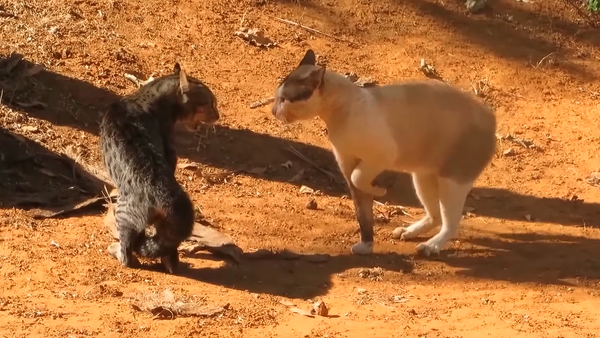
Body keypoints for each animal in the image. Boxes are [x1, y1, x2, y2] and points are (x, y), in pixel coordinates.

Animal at [98, 62, 220, 274]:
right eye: (210, 104)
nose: (218, 116)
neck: (147, 97)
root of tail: (165, 193)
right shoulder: (170, 154)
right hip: (165, 224)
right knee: (167, 249)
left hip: (123, 213)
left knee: (127, 254)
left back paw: (115, 250)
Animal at [272, 49, 496, 256]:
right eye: (276, 98)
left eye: (284, 99)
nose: (274, 111)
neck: (339, 111)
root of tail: (490, 115)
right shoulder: (348, 166)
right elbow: (363, 214)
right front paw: (366, 246)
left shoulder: (379, 158)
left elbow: (360, 180)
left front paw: (380, 191)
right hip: (423, 178)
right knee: (436, 216)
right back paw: (409, 232)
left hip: (451, 182)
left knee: (451, 223)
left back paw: (431, 246)